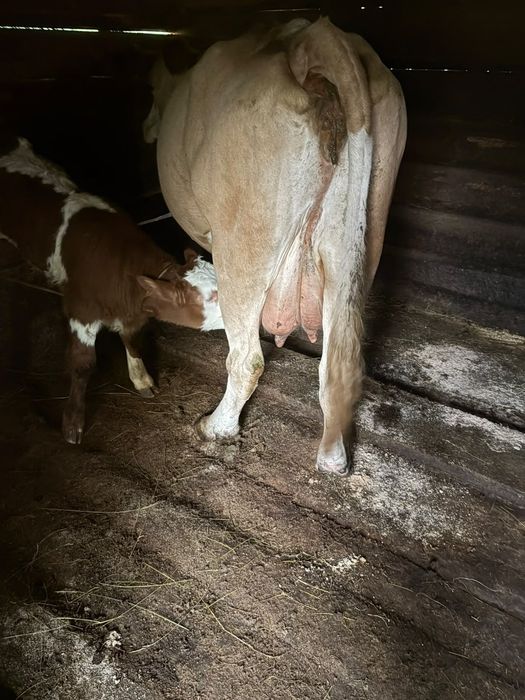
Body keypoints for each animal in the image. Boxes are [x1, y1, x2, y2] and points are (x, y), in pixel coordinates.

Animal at [0, 137, 223, 444]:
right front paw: (73, 423)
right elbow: (83, 365)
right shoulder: (81, 312)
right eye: (211, 296)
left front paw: (142, 380)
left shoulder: (133, 315)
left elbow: (132, 342)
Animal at [144, 18, 407, 475]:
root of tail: (314, 35)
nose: (145, 130)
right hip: (356, 244)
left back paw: (215, 427)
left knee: (247, 359)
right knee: (338, 365)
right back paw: (333, 459)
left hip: (244, 241)